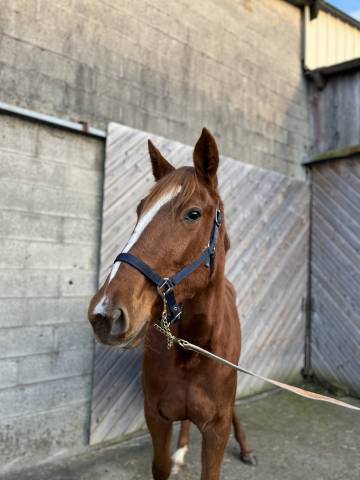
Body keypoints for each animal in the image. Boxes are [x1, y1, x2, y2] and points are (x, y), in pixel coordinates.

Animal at [88, 128, 255, 480]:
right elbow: (162, 465)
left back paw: (246, 449)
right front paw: (176, 456)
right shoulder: (157, 417)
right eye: (140, 209)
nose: (105, 313)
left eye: (193, 213)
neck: (193, 347)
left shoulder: (216, 430)